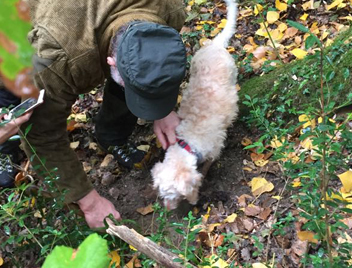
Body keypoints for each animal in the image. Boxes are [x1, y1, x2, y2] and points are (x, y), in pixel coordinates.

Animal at [151, 0, 239, 209]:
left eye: (174, 196)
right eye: (162, 194)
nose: (167, 210)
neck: (188, 141)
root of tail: (215, 45)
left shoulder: (214, 150)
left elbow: (207, 166)